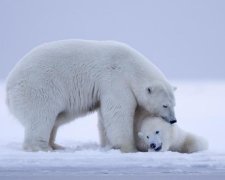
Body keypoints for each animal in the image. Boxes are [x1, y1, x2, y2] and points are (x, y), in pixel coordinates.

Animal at [6, 39, 177, 152]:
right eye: (165, 105)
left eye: (174, 104)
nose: (173, 120)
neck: (130, 67)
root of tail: (8, 87)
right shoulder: (115, 80)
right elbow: (118, 112)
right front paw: (129, 147)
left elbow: (104, 117)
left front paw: (108, 144)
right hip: (39, 88)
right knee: (41, 116)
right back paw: (41, 147)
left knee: (55, 119)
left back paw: (55, 145)